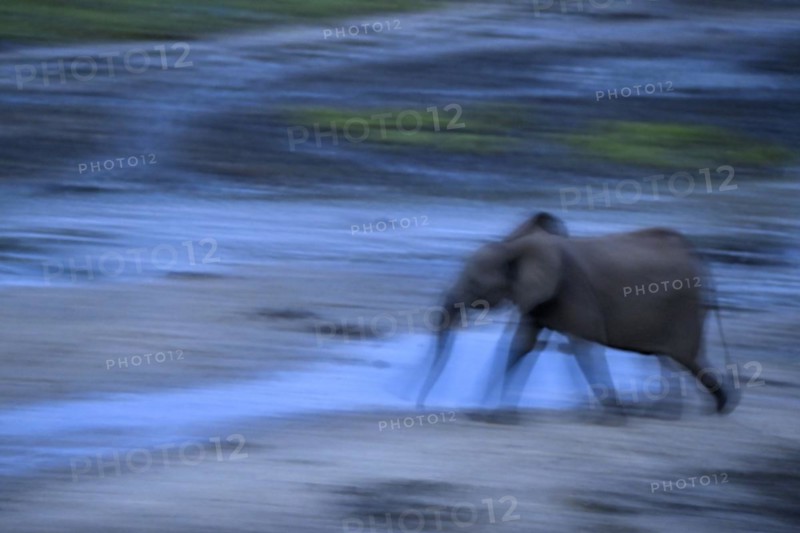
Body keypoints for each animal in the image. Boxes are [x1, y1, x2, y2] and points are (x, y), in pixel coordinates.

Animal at [416, 212, 739, 417]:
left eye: (473, 283)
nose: (420, 406)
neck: (516, 247)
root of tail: (695, 254)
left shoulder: (573, 292)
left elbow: (582, 346)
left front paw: (613, 411)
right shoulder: (539, 299)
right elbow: (521, 345)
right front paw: (490, 410)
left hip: (683, 308)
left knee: (686, 358)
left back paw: (719, 407)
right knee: (676, 359)